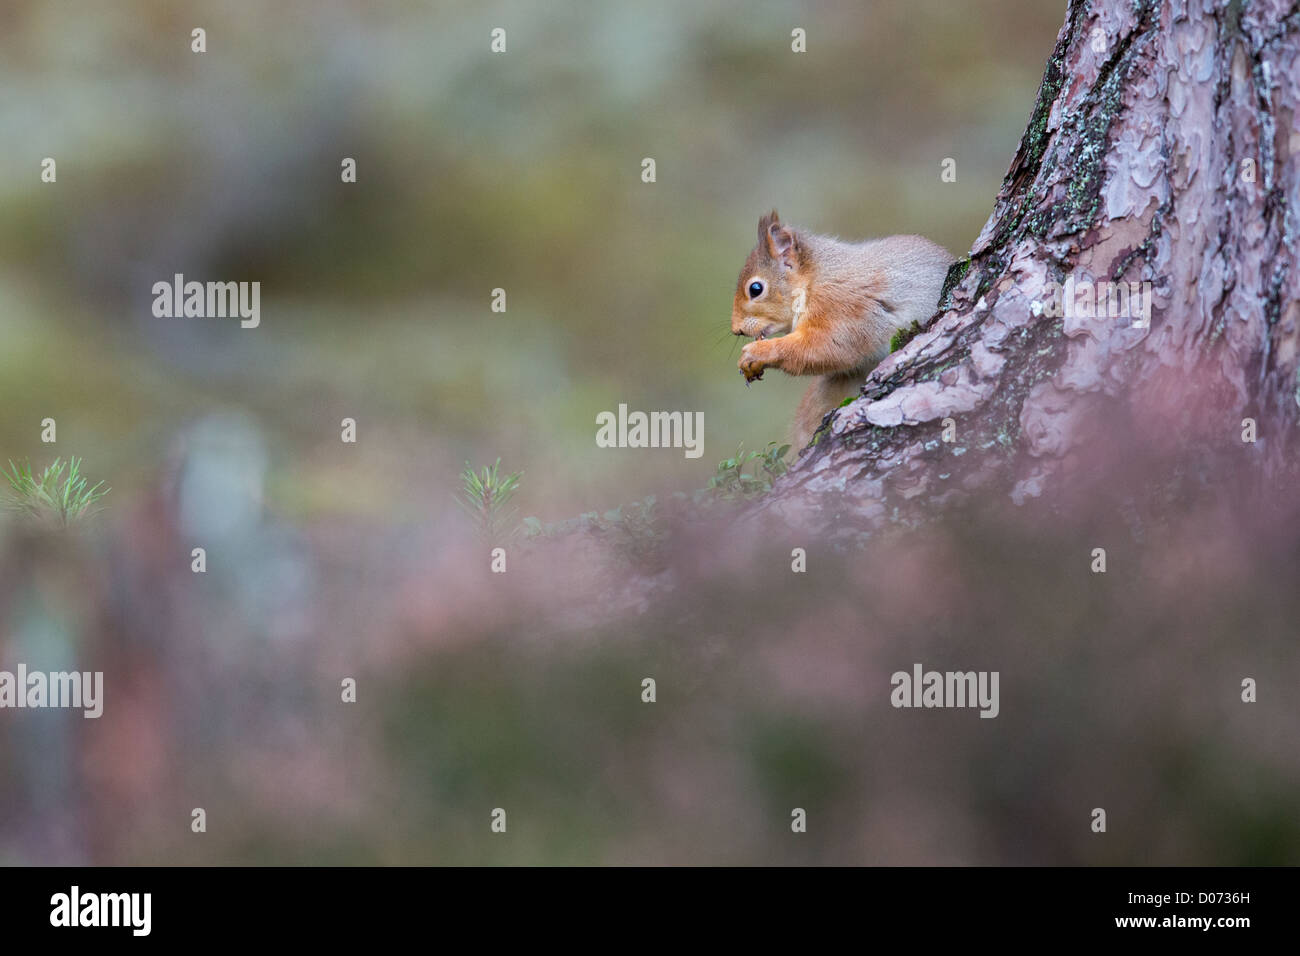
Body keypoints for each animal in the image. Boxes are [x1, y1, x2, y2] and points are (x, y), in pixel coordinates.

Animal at [733, 210, 956, 450]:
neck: (814, 281)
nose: (736, 330)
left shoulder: (841, 308)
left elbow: (825, 348)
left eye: (756, 289)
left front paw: (757, 353)